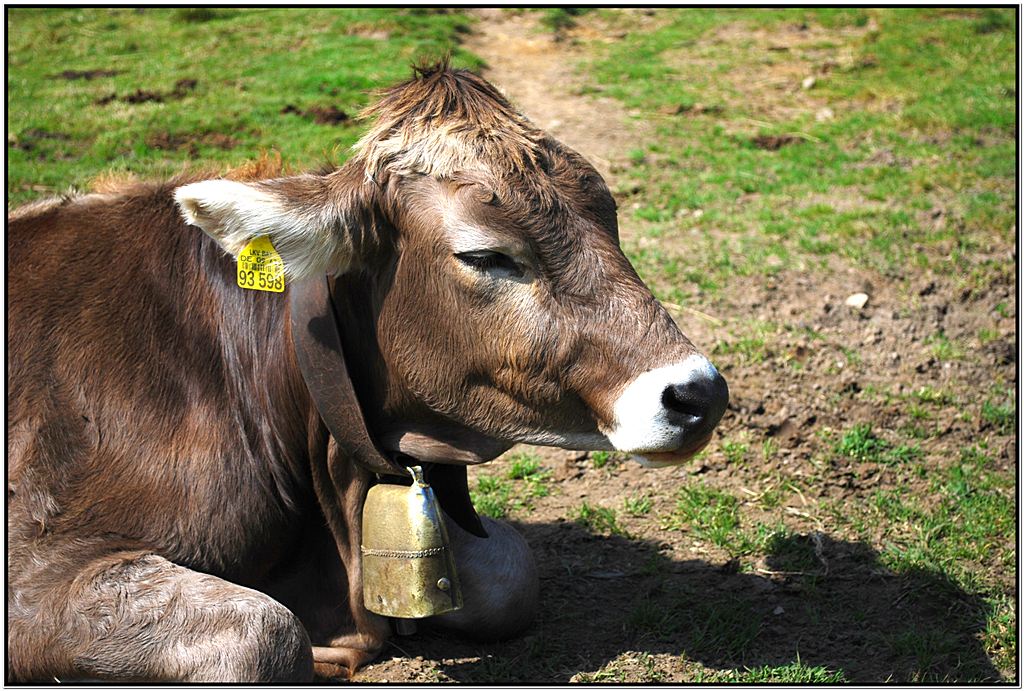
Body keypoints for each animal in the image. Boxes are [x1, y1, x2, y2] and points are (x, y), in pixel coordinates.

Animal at [7, 63, 728, 682]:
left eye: (611, 218)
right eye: (485, 255)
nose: (700, 393)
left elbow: (510, 572)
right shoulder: (37, 560)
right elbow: (264, 635)